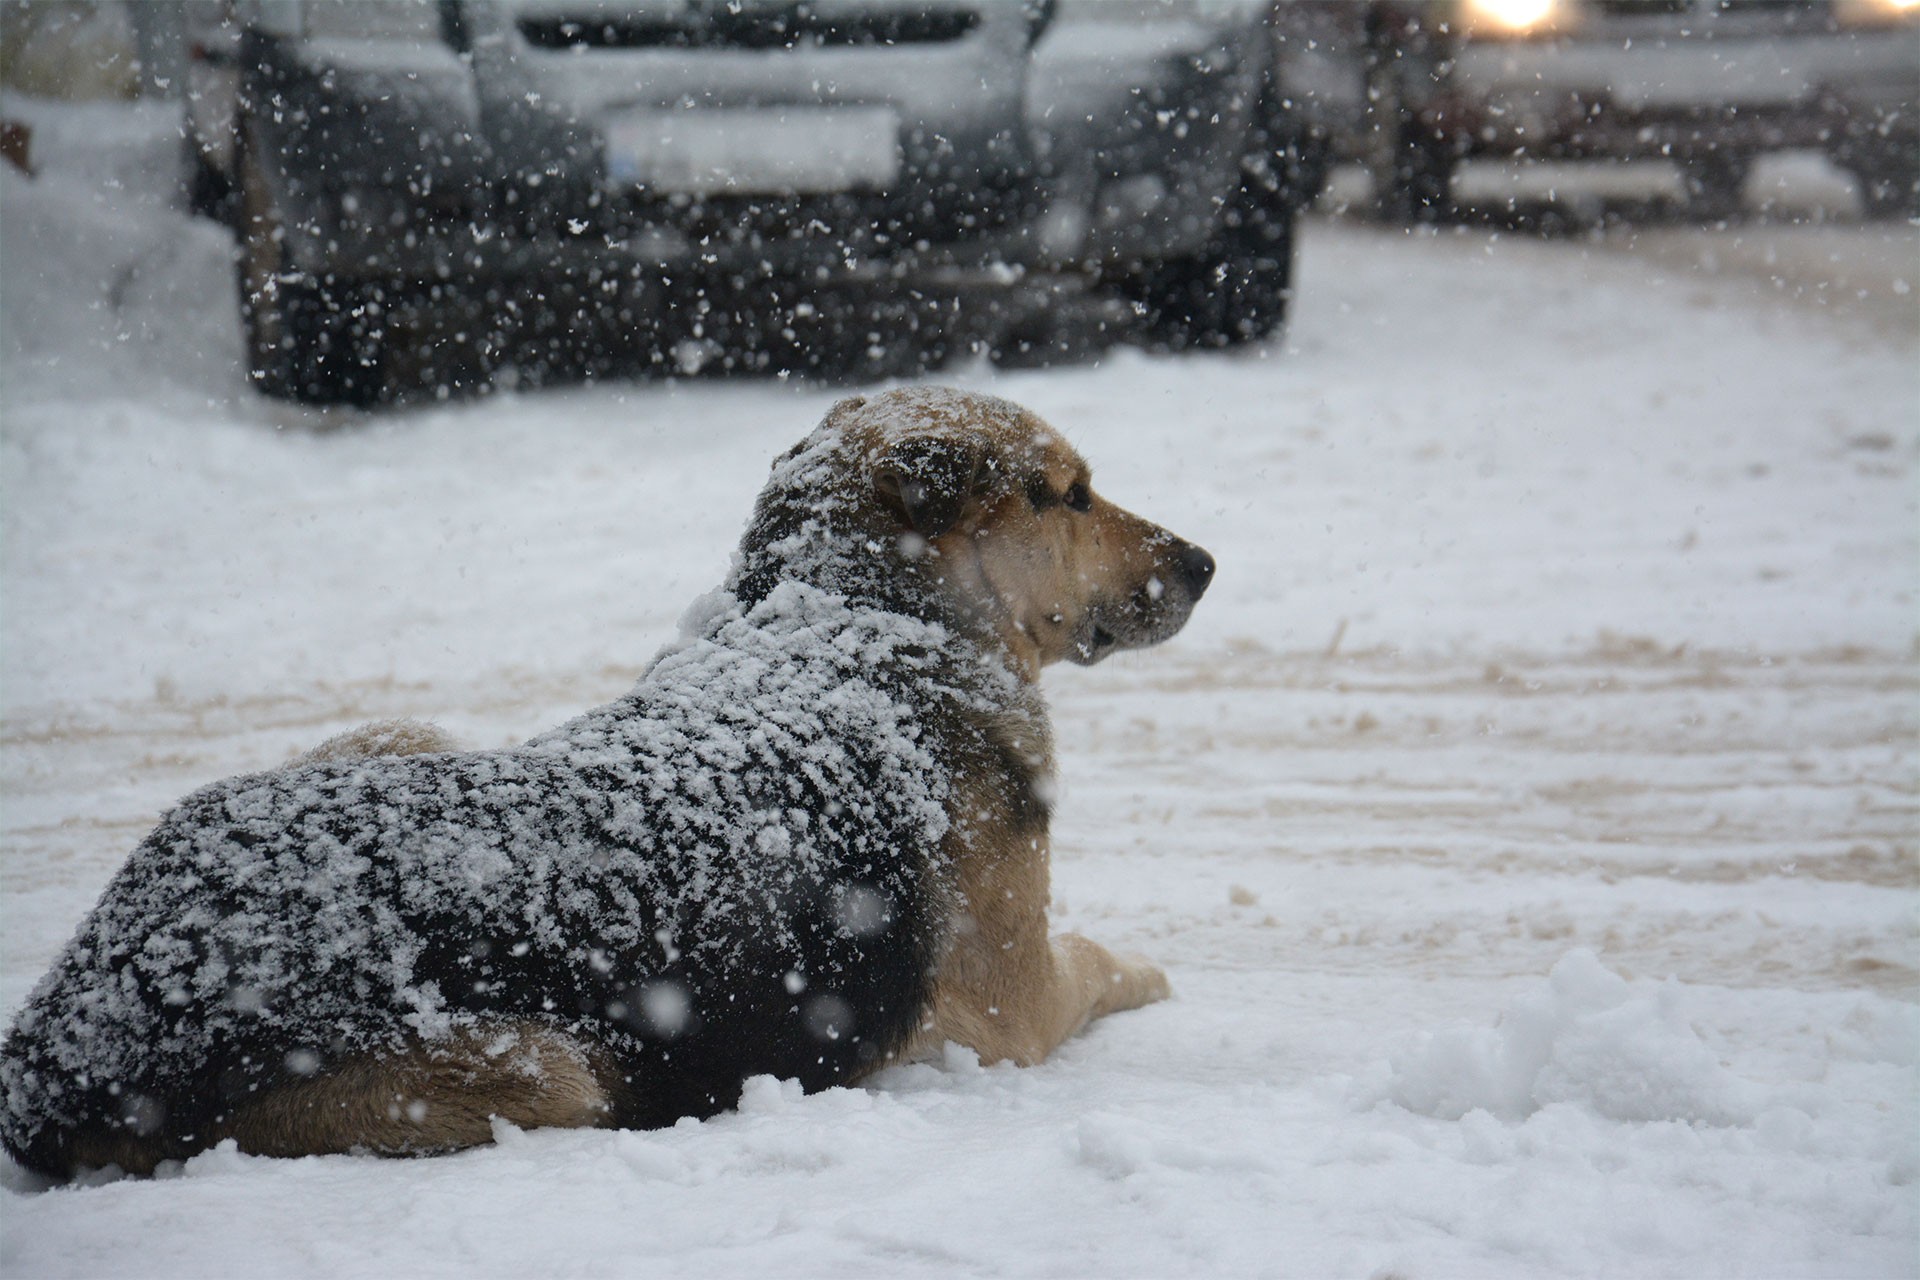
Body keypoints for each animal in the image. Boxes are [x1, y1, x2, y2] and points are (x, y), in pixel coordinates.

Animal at [0, 391, 1213, 1182]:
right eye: (1068, 494)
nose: (1204, 562)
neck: (855, 621)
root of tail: (72, 1021)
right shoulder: (1014, 1007)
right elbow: (1104, 962)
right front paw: (1155, 970)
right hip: (549, 1068)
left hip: (395, 739)